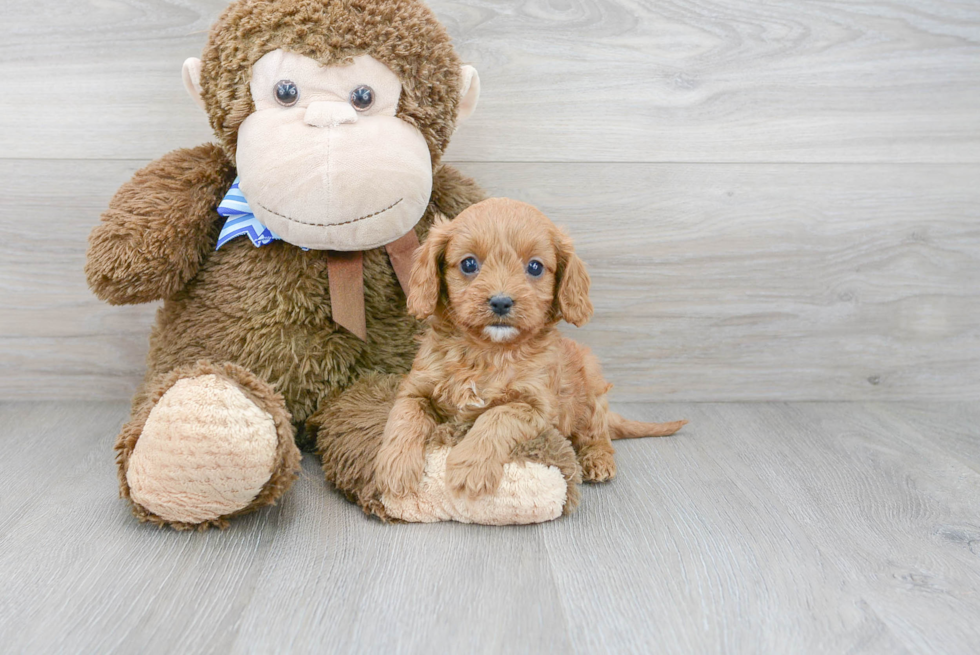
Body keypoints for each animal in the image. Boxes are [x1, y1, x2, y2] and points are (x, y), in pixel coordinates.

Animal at [372, 197, 684, 500]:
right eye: (469, 264)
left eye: (535, 267)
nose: (500, 302)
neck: (488, 351)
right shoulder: (415, 389)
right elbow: (404, 417)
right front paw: (395, 467)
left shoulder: (536, 405)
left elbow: (496, 416)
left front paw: (470, 468)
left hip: (592, 390)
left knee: (597, 434)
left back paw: (598, 459)